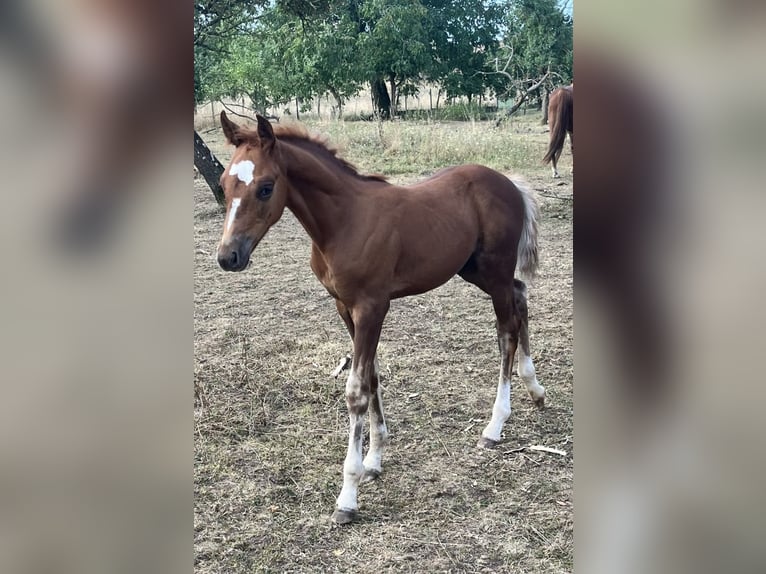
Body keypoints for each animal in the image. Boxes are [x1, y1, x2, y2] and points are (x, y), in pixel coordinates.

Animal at [216, 111, 546, 525]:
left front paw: (348, 495)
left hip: (495, 269)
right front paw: (374, 459)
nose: (228, 256)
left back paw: (495, 424)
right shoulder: (344, 306)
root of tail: (509, 182)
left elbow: (356, 390)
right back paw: (535, 389)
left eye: (265, 187)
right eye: (223, 183)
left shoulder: (372, 306)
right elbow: (371, 375)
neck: (344, 222)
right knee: (520, 297)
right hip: (475, 270)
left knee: (506, 330)